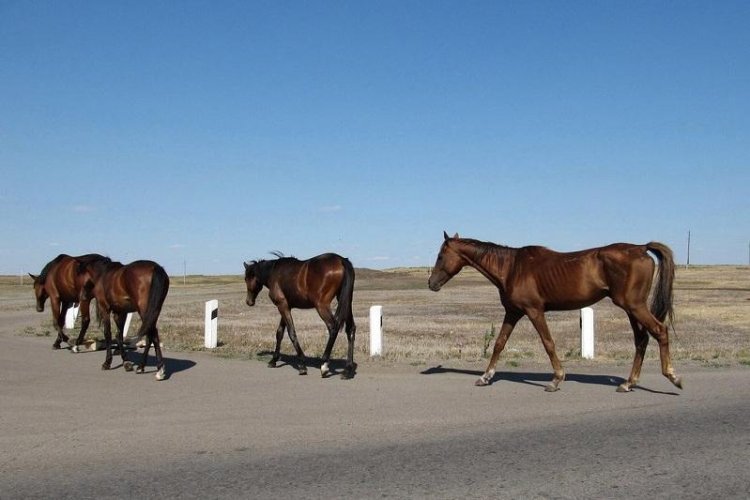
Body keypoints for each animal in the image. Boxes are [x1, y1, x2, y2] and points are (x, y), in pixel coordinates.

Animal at [428, 232, 680, 392]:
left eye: (440, 256)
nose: (431, 283)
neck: (511, 268)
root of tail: (641, 248)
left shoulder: (534, 311)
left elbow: (548, 343)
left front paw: (556, 379)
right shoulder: (513, 312)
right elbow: (499, 343)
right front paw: (485, 376)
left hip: (635, 306)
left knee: (660, 331)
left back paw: (672, 376)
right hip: (631, 308)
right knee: (642, 340)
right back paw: (629, 383)